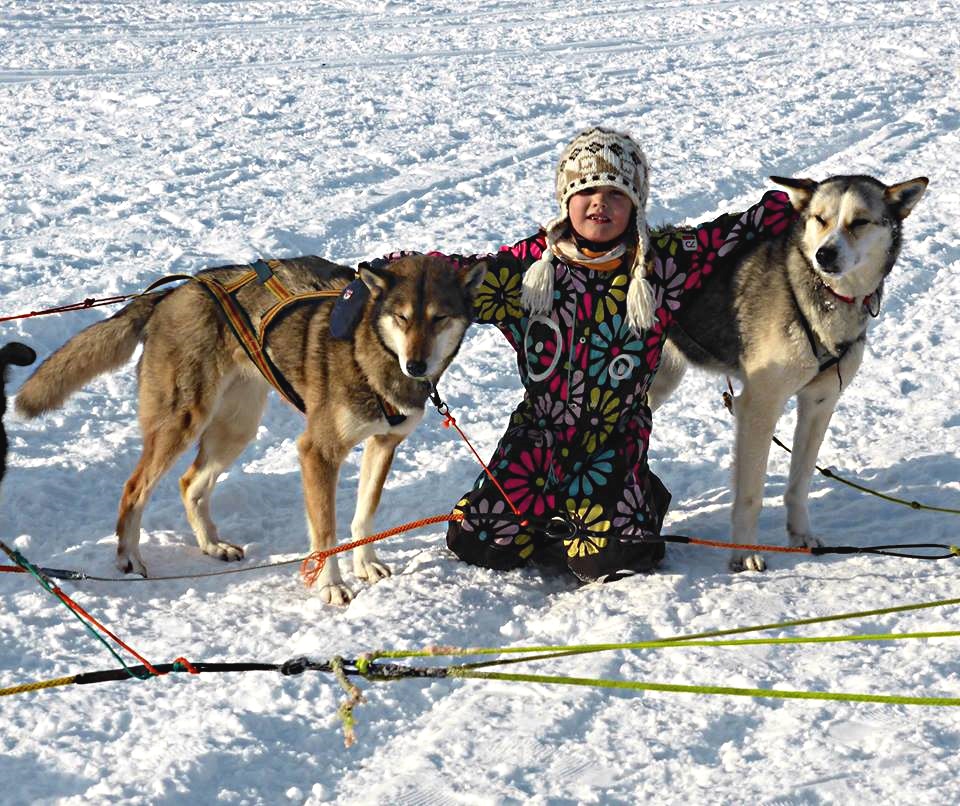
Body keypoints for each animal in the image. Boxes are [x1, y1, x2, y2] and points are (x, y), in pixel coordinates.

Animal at [17, 256, 488, 604]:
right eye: (401, 317)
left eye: (440, 318)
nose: (417, 365)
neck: (370, 350)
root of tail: (175, 292)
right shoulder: (318, 452)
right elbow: (326, 530)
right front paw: (332, 584)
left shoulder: (384, 443)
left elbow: (365, 514)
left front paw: (365, 563)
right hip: (183, 422)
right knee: (135, 488)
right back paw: (130, 559)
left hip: (237, 428)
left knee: (190, 483)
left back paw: (212, 545)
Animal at [648, 174, 928, 572]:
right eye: (820, 219)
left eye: (859, 221)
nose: (824, 254)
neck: (823, 299)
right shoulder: (759, 406)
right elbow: (750, 493)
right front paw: (744, 552)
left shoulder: (819, 404)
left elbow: (799, 484)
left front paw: (800, 536)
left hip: (662, 381)